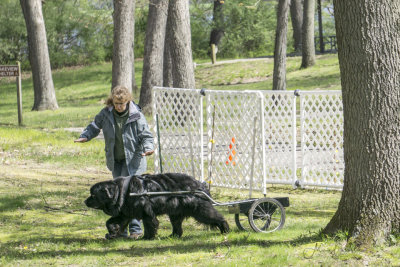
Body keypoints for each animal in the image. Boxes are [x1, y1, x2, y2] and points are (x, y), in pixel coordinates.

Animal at [84, 174, 230, 241]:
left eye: (93, 195)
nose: (85, 201)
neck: (122, 192)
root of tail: (200, 184)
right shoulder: (125, 214)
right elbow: (110, 222)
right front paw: (112, 232)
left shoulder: (147, 212)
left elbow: (150, 224)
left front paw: (147, 237)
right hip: (175, 213)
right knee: (177, 226)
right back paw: (173, 236)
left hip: (200, 210)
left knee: (216, 217)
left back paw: (225, 229)